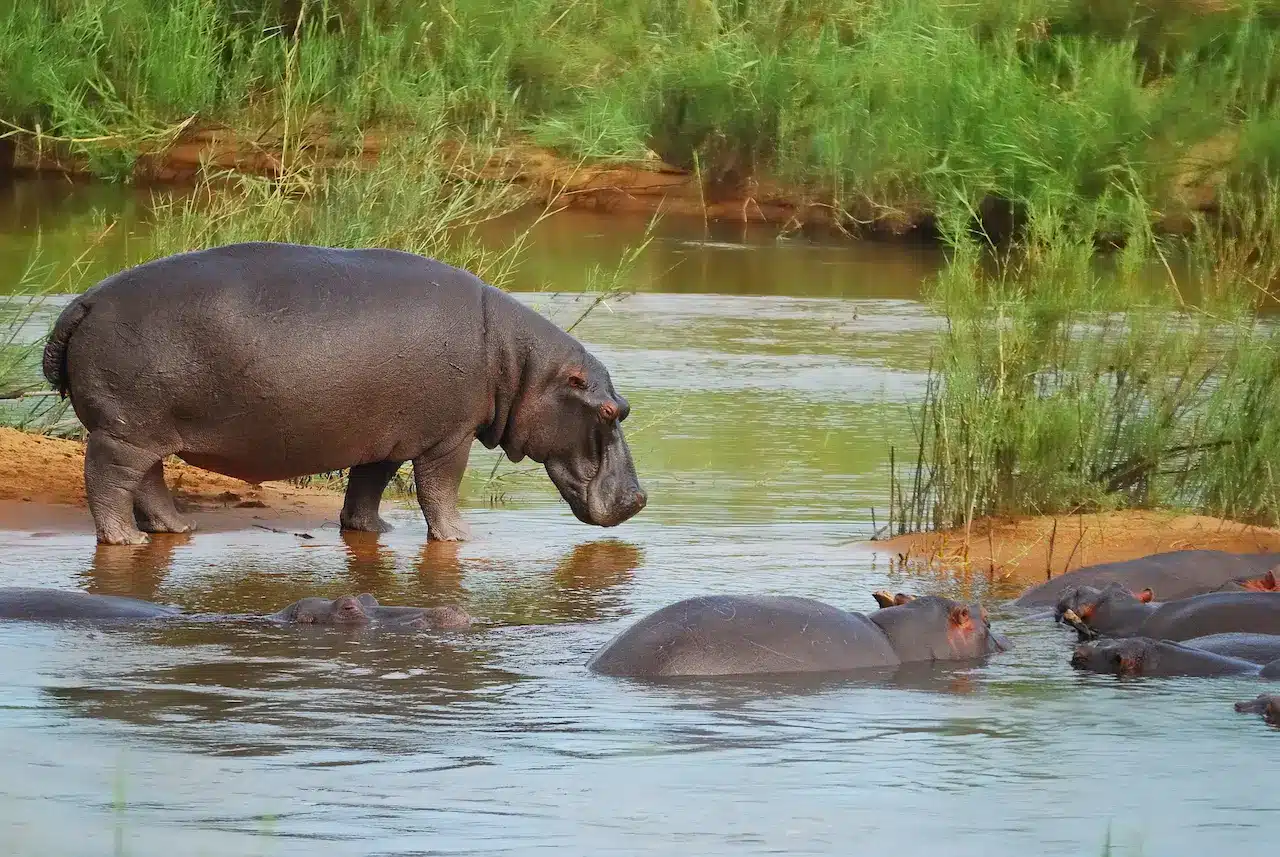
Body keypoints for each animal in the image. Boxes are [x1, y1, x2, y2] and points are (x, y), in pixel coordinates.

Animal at [41, 242, 646, 545]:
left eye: (626, 407)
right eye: (610, 410)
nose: (640, 500)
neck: (521, 367)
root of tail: (85, 301)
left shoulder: (387, 437)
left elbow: (368, 487)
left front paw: (374, 529)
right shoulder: (447, 439)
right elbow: (440, 490)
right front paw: (461, 538)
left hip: (146, 430)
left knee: (147, 481)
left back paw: (177, 529)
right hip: (125, 431)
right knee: (108, 479)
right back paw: (125, 541)